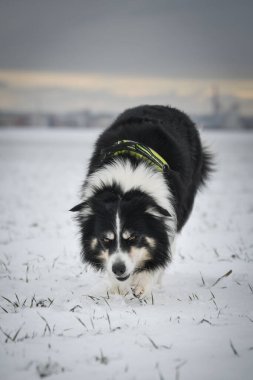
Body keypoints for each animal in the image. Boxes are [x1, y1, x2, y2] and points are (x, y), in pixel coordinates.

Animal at [70, 105, 212, 298]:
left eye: (133, 237)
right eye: (105, 239)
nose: (118, 269)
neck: (125, 187)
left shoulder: (167, 218)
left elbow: (161, 251)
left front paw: (142, 283)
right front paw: (118, 286)